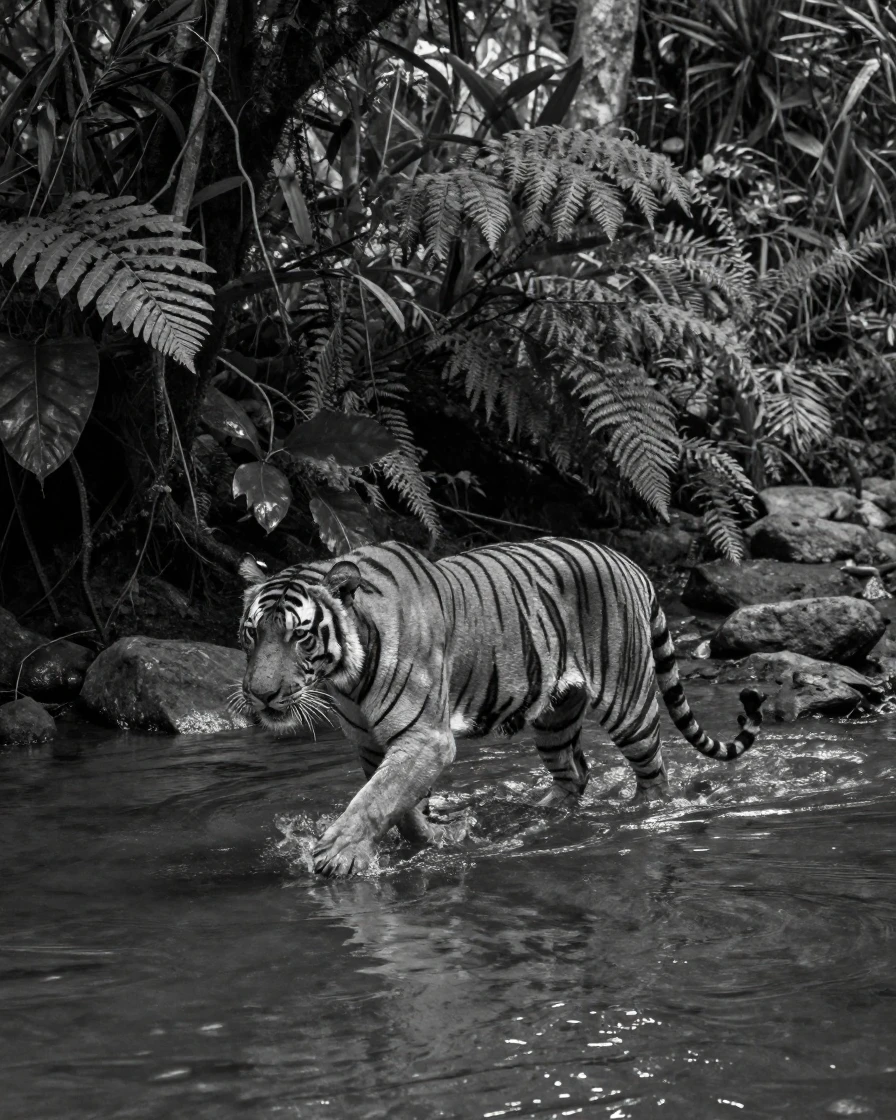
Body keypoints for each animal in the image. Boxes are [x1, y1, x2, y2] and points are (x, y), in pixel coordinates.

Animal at [236, 538, 765, 878]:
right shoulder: (373, 745)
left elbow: (374, 800)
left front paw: (339, 854)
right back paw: (536, 814)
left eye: (300, 636)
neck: (345, 677)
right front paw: (437, 838)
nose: (260, 694)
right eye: (252, 633)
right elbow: (398, 803)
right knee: (575, 773)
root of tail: (631, 563)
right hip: (556, 714)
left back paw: (638, 815)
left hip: (630, 707)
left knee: (655, 776)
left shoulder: (426, 739)